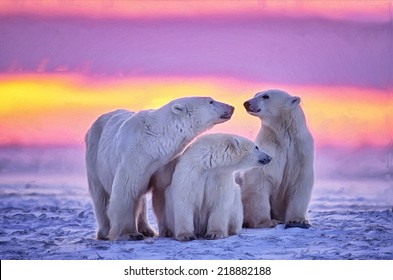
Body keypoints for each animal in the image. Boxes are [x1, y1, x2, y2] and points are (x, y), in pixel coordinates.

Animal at [85, 97, 233, 241]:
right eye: (211, 101)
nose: (231, 107)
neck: (152, 142)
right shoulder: (133, 157)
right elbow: (126, 190)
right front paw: (130, 233)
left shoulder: (165, 162)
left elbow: (163, 191)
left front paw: (167, 231)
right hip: (94, 156)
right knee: (100, 196)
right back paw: (104, 232)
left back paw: (147, 230)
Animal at [234, 89, 314, 230]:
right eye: (255, 94)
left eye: (265, 96)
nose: (246, 103)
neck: (285, 138)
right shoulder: (270, 149)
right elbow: (260, 180)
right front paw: (267, 222)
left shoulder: (300, 152)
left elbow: (300, 182)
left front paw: (298, 221)